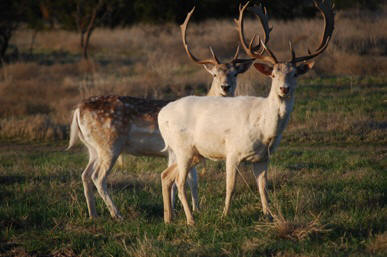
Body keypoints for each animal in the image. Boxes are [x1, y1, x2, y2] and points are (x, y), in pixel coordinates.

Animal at [66, 6, 264, 218]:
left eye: (235, 74)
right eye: (214, 74)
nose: (225, 87)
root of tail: (78, 110)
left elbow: (193, 181)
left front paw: (194, 209)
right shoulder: (174, 150)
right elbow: (180, 181)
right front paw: (176, 213)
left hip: (92, 147)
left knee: (85, 175)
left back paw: (93, 215)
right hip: (109, 144)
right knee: (98, 177)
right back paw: (117, 215)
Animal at [159, 0, 334, 224]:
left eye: (295, 73)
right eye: (273, 74)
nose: (284, 89)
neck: (264, 129)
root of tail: (161, 114)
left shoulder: (263, 158)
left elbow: (263, 188)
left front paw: (269, 215)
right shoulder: (232, 151)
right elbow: (230, 187)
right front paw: (225, 215)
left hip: (194, 152)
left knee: (166, 176)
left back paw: (168, 219)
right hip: (183, 149)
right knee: (180, 183)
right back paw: (190, 221)